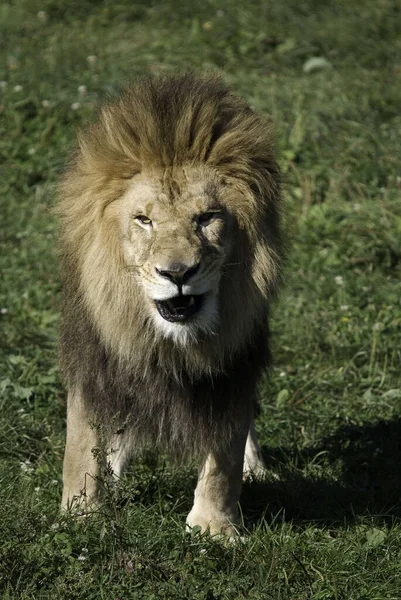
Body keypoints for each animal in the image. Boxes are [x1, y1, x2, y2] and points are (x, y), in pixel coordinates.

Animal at [58, 72, 282, 536]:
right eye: (144, 220)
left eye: (207, 218)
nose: (177, 274)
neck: (171, 339)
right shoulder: (95, 355)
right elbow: (81, 441)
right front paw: (79, 515)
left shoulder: (233, 362)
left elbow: (224, 454)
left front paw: (214, 529)